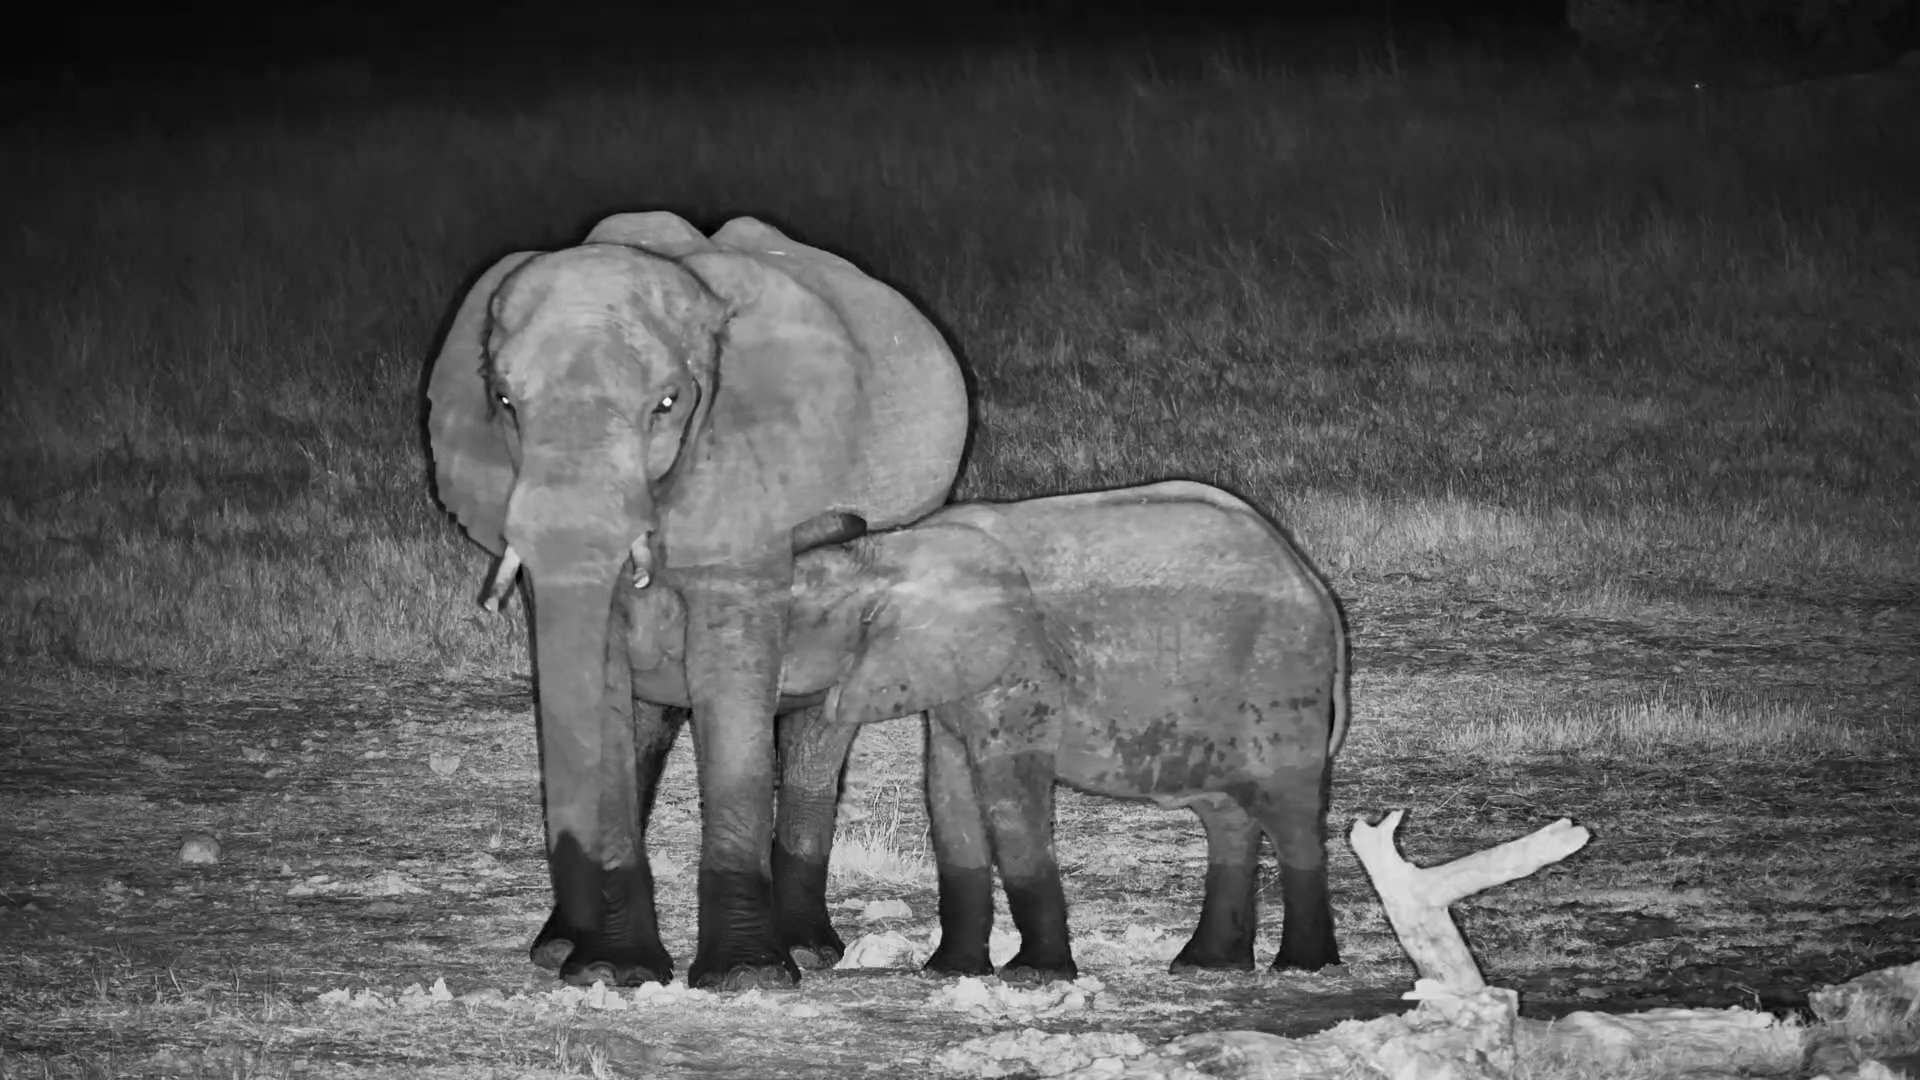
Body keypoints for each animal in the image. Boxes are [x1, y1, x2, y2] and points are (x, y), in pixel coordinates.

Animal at [425, 211, 968, 990]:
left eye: (667, 404)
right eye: (503, 402)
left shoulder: (751, 485)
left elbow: (731, 678)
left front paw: (747, 978)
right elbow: (600, 687)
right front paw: (609, 970)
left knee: (816, 739)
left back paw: (809, 950)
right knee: (647, 728)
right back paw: (558, 949)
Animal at [633, 480, 1348, 982]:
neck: (887, 555)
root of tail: (1312, 581)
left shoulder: (1018, 669)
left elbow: (1006, 792)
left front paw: (1034, 977)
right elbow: (948, 792)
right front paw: (947, 973)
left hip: (1280, 679)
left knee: (1287, 811)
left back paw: (1301, 966)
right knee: (1227, 814)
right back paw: (1207, 965)